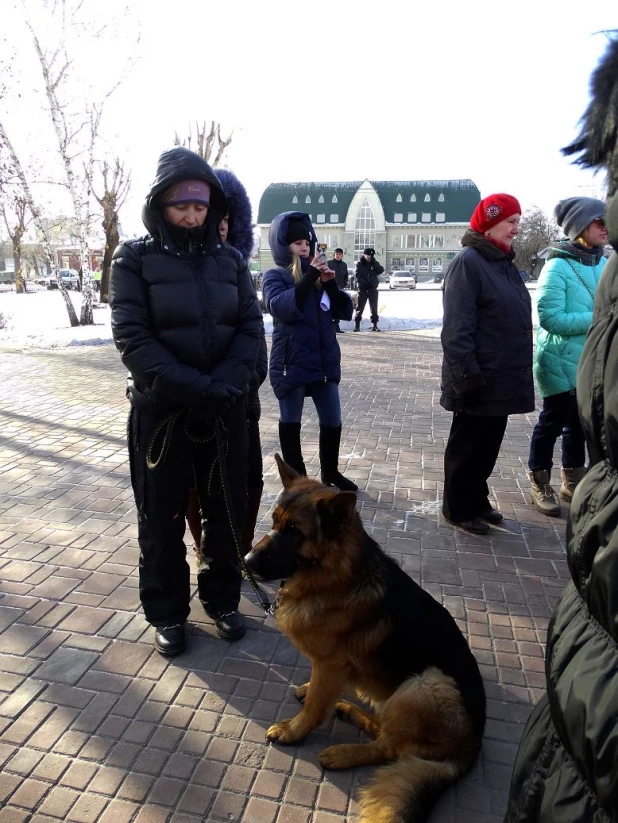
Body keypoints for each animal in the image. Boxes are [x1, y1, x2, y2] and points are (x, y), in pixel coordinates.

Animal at [243, 458, 484, 823]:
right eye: (273, 522)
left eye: (294, 531)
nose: (246, 562)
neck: (334, 573)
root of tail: (469, 751)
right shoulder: (328, 667)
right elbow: (318, 692)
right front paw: (313, 692)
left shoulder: (331, 664)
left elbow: (315, 707)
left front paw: (295, 731)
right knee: (384, 730)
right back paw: (347, 711)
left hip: (426, 683)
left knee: (389, 748)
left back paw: (343, 752)